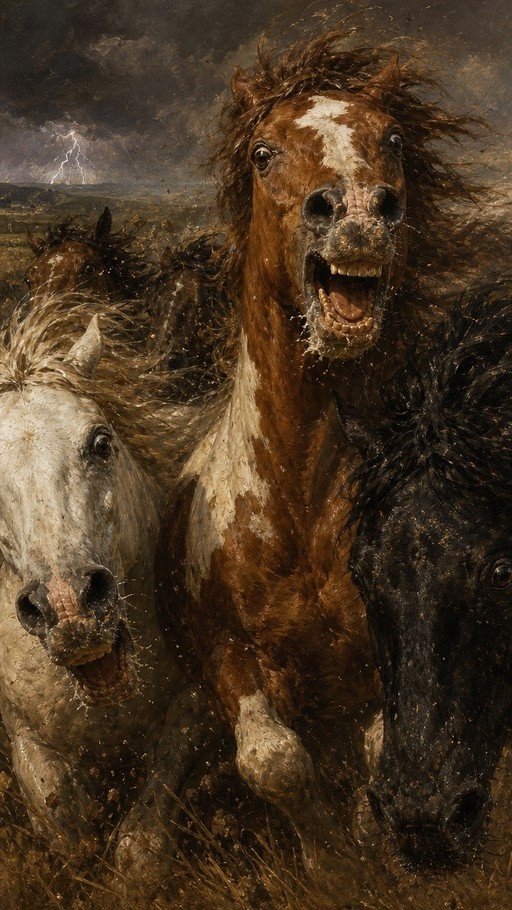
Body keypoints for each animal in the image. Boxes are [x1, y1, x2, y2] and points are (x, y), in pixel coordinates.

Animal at [0, 296, 217, 891]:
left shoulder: (197, 704)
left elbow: (139, 849)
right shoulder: (27, 738)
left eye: (100, 442)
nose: (68, 605)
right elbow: (67, 833)